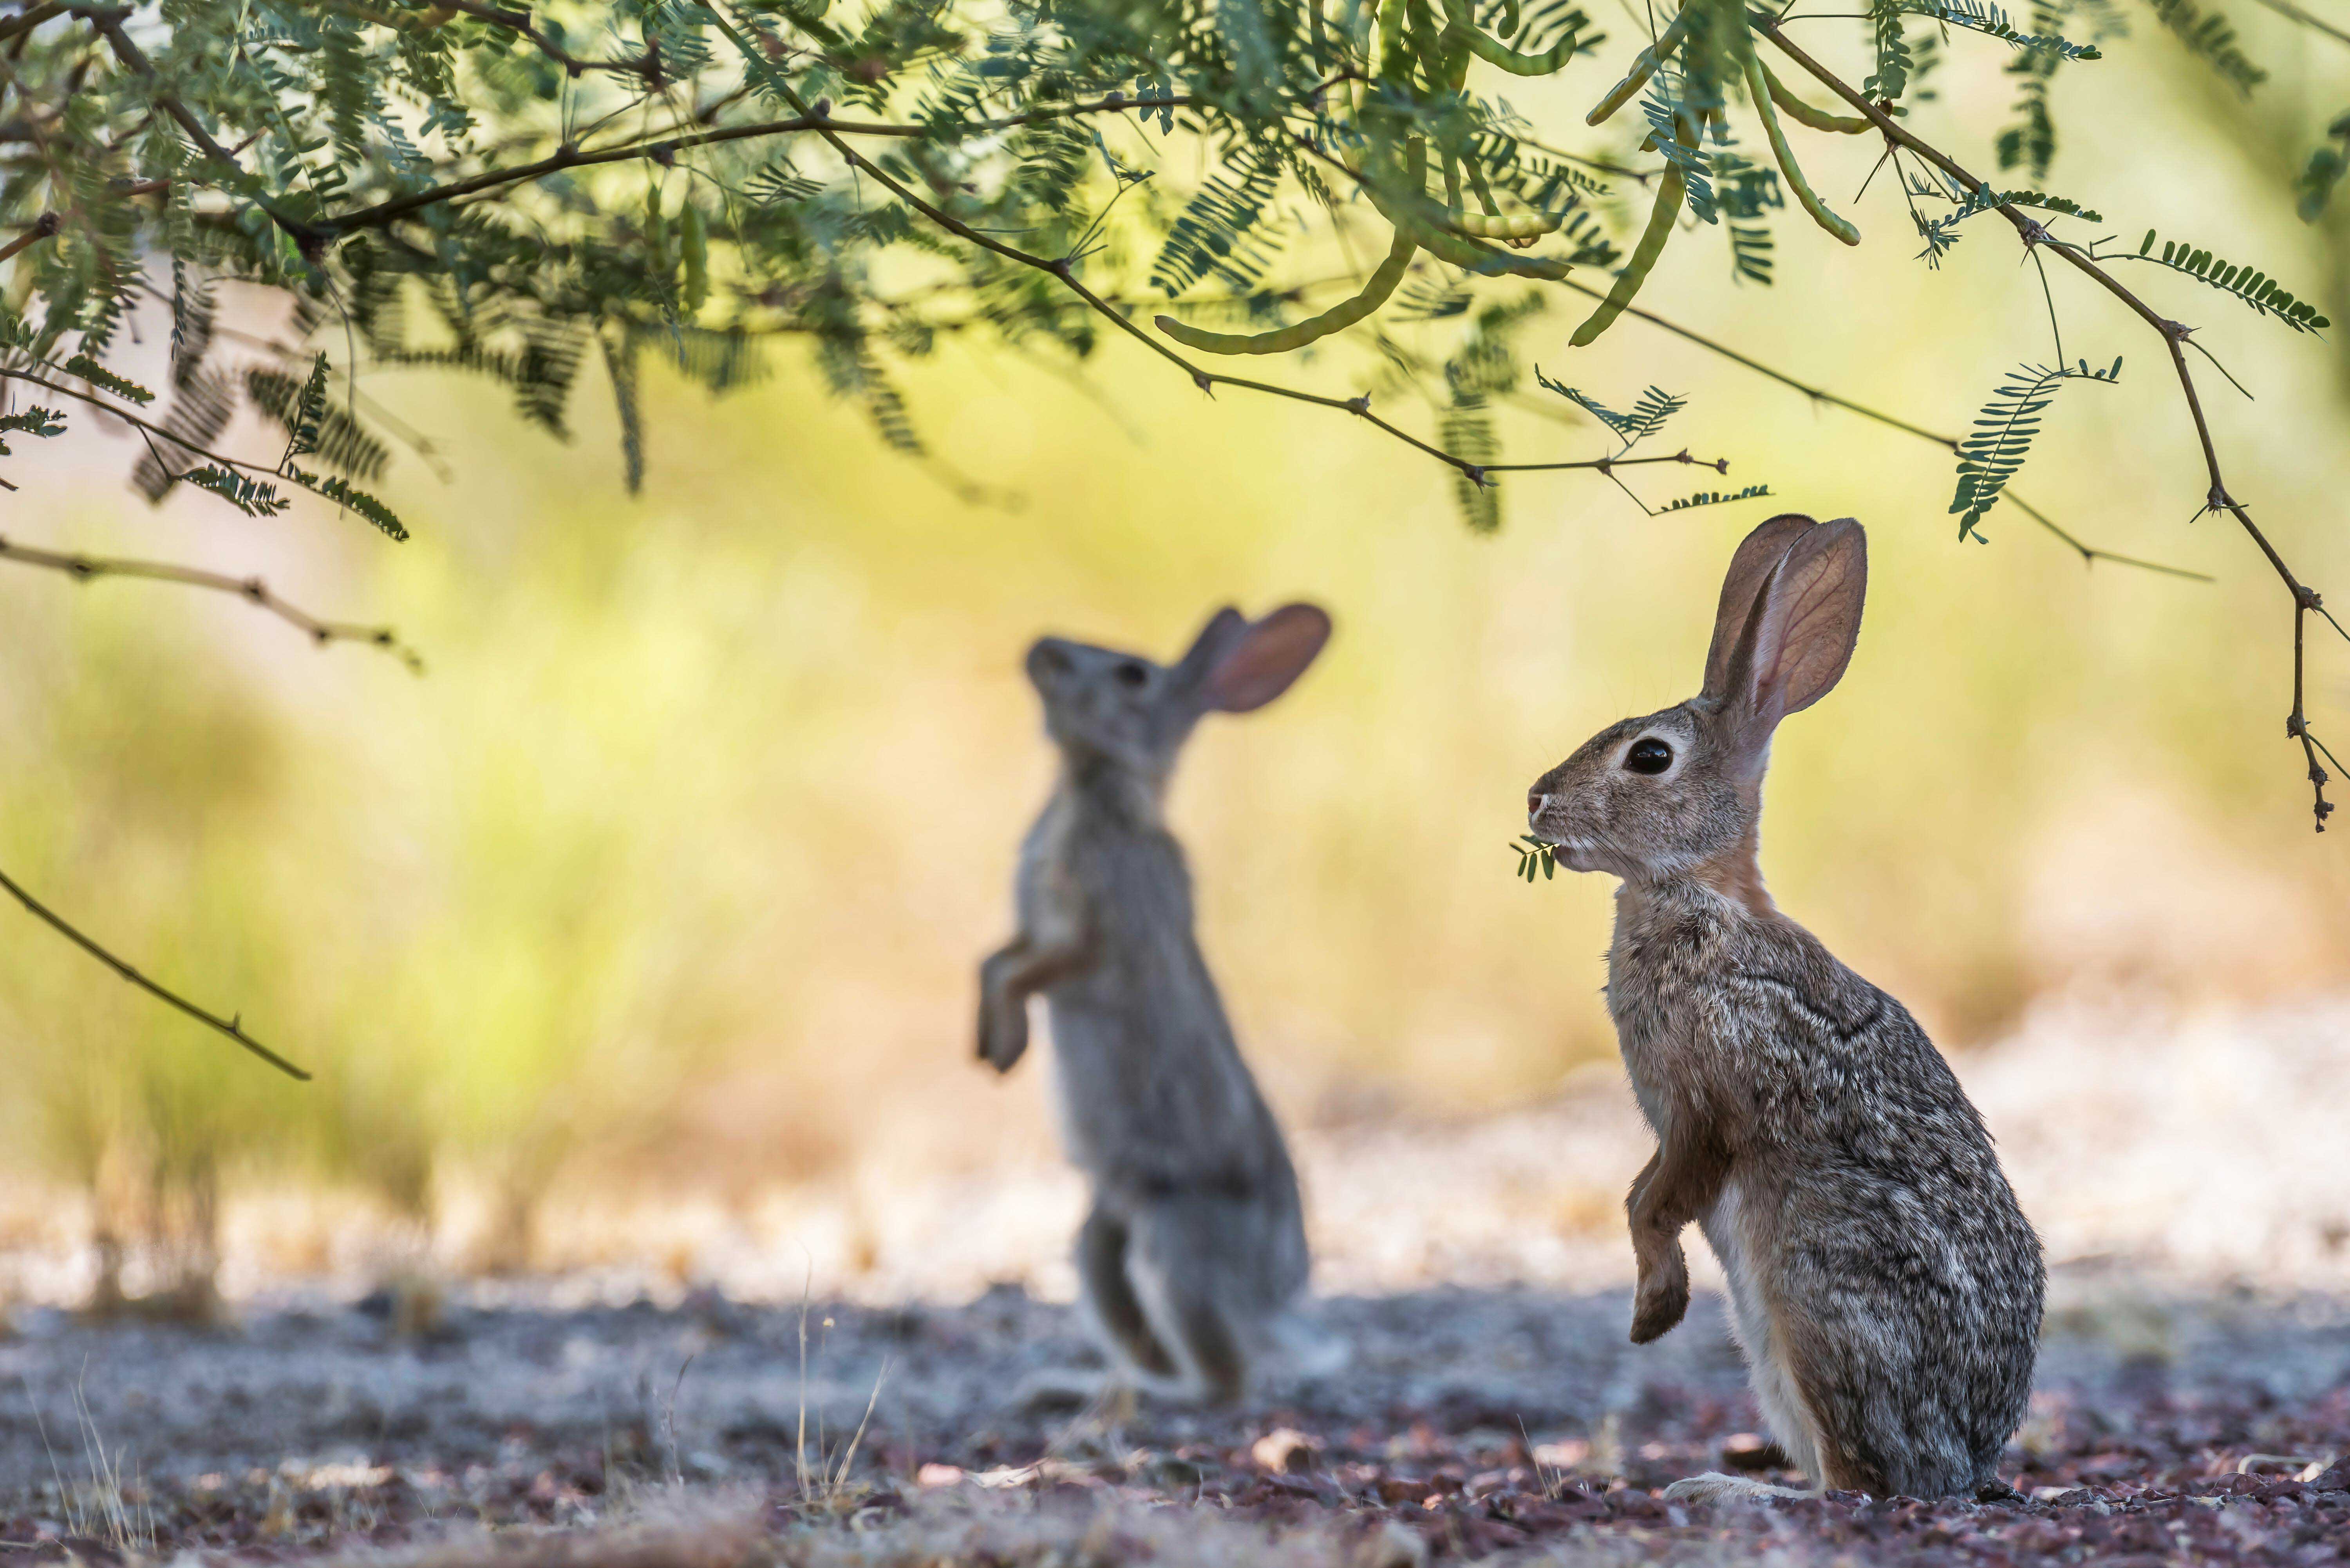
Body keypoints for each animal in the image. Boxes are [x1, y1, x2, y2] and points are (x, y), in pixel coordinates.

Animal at [978, 602, 1344, 1410]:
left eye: (1131, 673)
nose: (1042, 652)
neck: (1093, 780)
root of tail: (1272, 1295)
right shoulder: (1031, 926)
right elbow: (994, 960)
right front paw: (994, 1046)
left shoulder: (1098, 927)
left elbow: (1030, 969)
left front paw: (1006, 1045)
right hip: (1099, 1244)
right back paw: (1076, 1386)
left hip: (1177, 1247)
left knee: (1227, 1380)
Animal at [1523, 517, 2040, 1504]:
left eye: (1650, 756)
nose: (1538, 800)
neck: (1697, 893)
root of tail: (1967, 1459)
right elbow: (1638, 1194)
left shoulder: (1707, 1102)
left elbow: (1655, 1200)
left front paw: (1654, 1313)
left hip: (1816, 1285)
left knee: (1861, 1483)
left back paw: (1724, 1490)